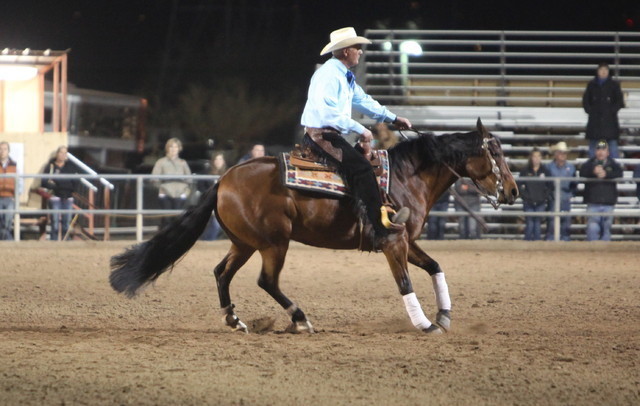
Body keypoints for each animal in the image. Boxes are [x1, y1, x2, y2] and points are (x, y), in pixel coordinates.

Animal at [110, 119, 518, 334]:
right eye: (495, 152)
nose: (513, 191)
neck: (407, 176)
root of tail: (224, 178)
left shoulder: (408, 241)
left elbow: (434, 266)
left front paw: (444, 315)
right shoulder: (393, 243)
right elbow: (404, 282)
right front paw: (423, 324)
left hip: (245, 243)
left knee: (221, 272)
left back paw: (235, 319)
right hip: (274, 243)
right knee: (266, 281)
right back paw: (300, 319)